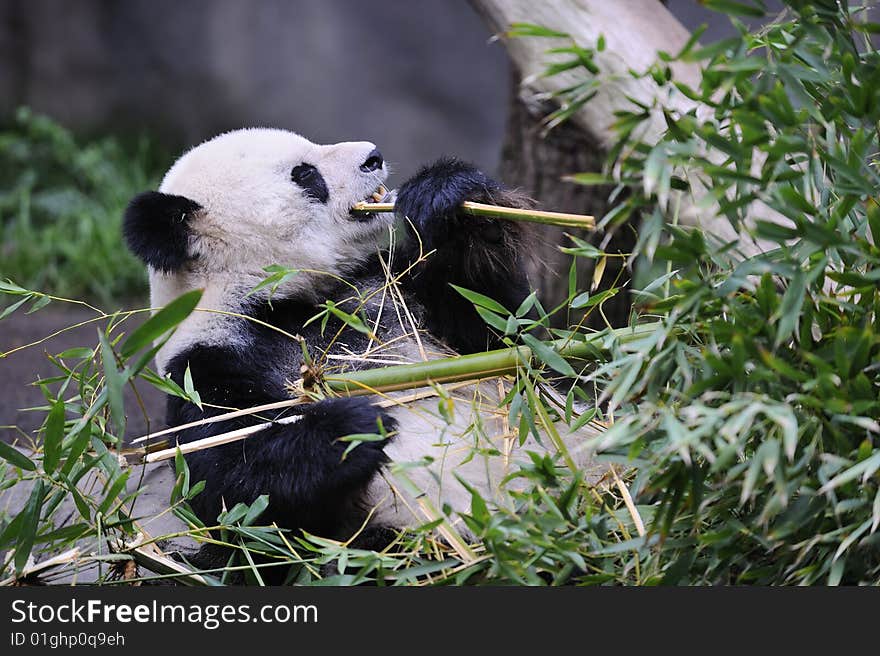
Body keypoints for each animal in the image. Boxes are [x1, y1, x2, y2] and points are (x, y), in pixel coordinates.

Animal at [124, 127, 600, 548]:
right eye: (305, 174)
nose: (373, 156)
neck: (287, 301)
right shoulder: (208, 367)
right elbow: (235, 486)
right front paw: (356, 425)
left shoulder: (393, 291)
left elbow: (508, 336)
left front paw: (445, 195)